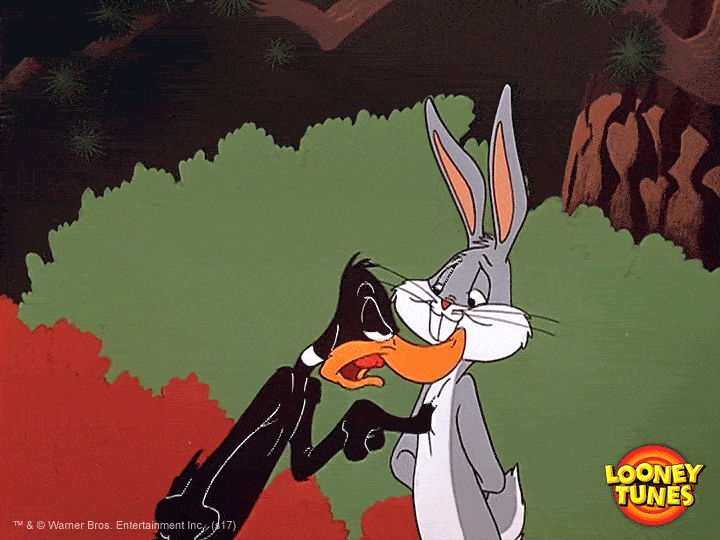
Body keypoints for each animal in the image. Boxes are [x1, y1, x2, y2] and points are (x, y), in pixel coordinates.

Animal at [390, 85, 531, 540]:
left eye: (475, 298)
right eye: (439, 282)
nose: (445, 303)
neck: (445, 382)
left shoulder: (466, 397)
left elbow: (491, 476)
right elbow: (402, 458)